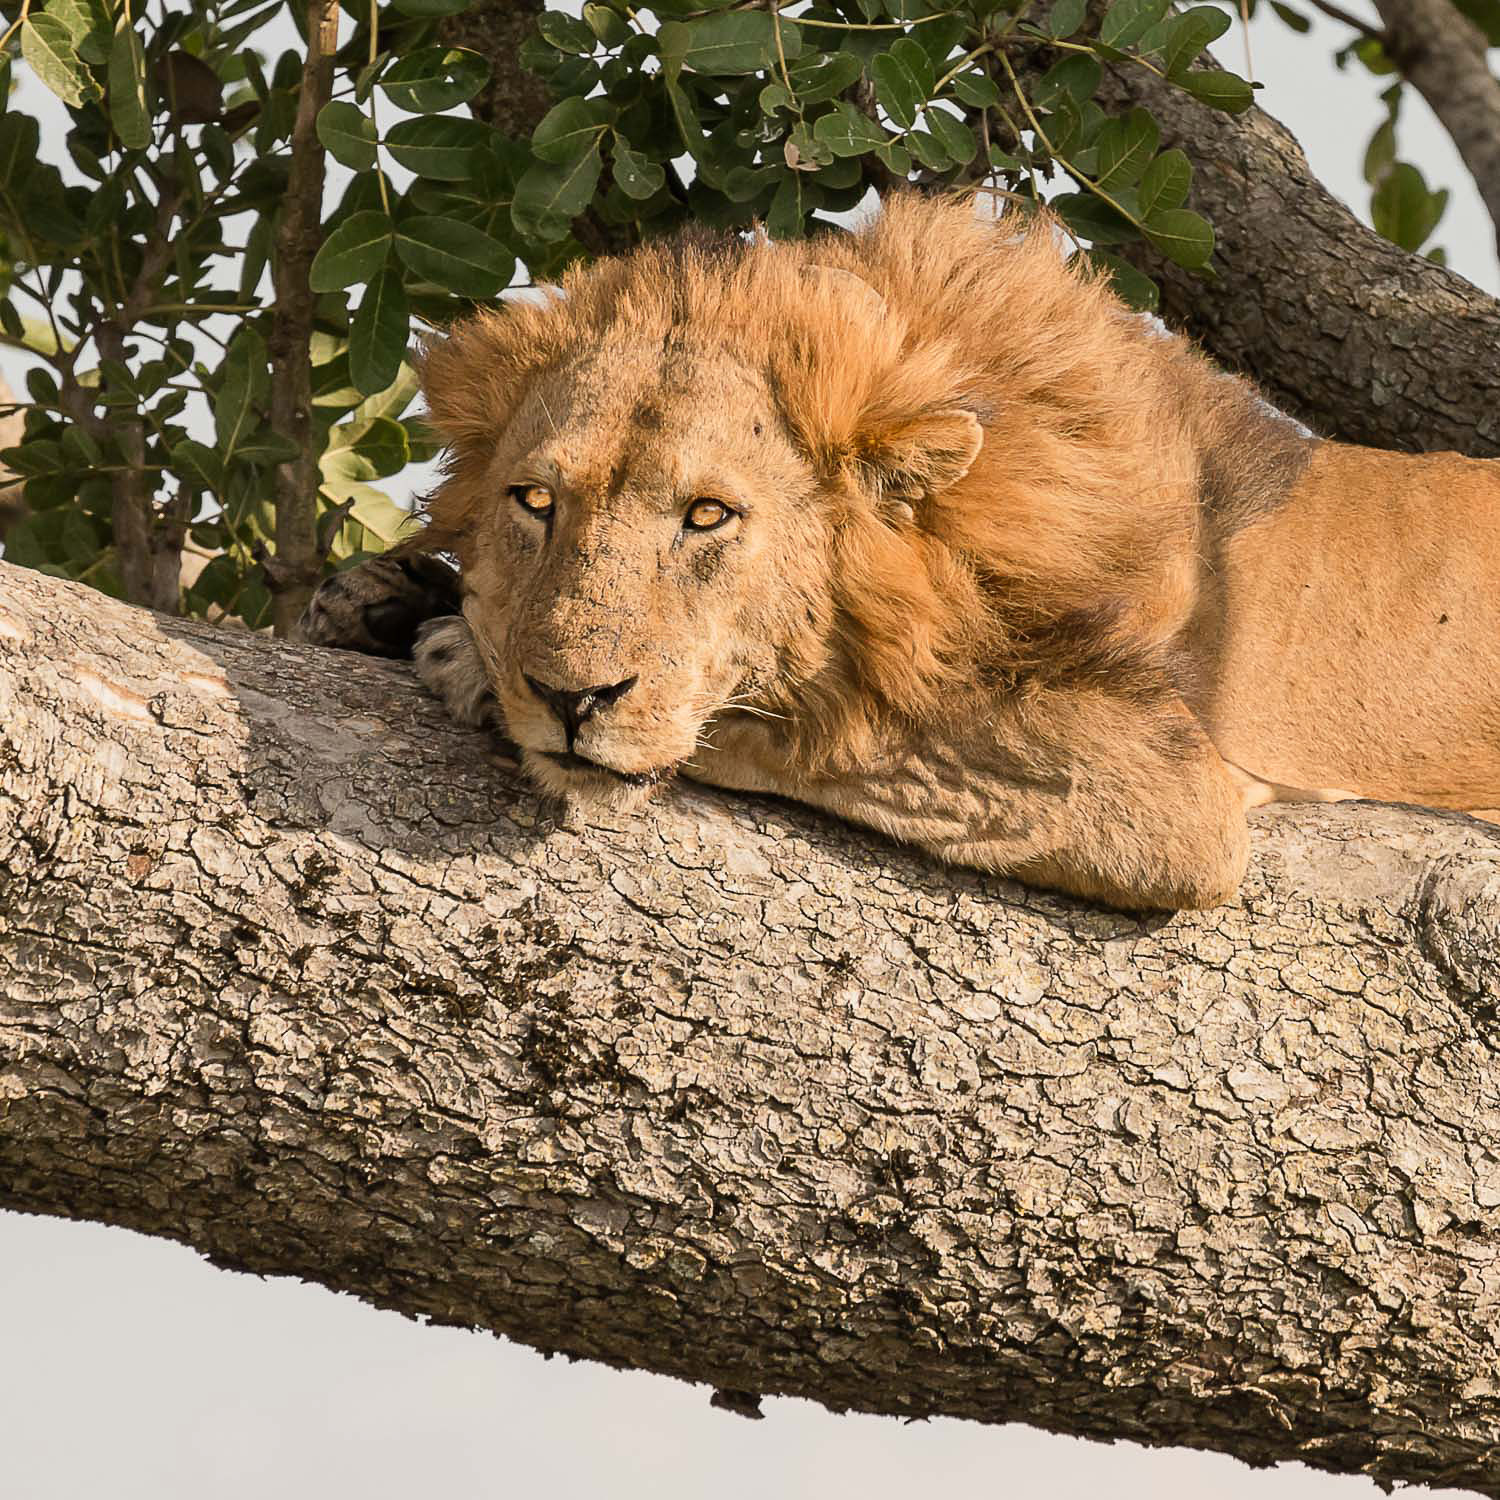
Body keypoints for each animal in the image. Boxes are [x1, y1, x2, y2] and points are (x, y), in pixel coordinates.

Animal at [301, 193, 1500, 910]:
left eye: (707, 517)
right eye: (537, 501)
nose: (568, 697)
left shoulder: (1175, 799)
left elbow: (793, 735)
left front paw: (462, 655)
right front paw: (383, 597)